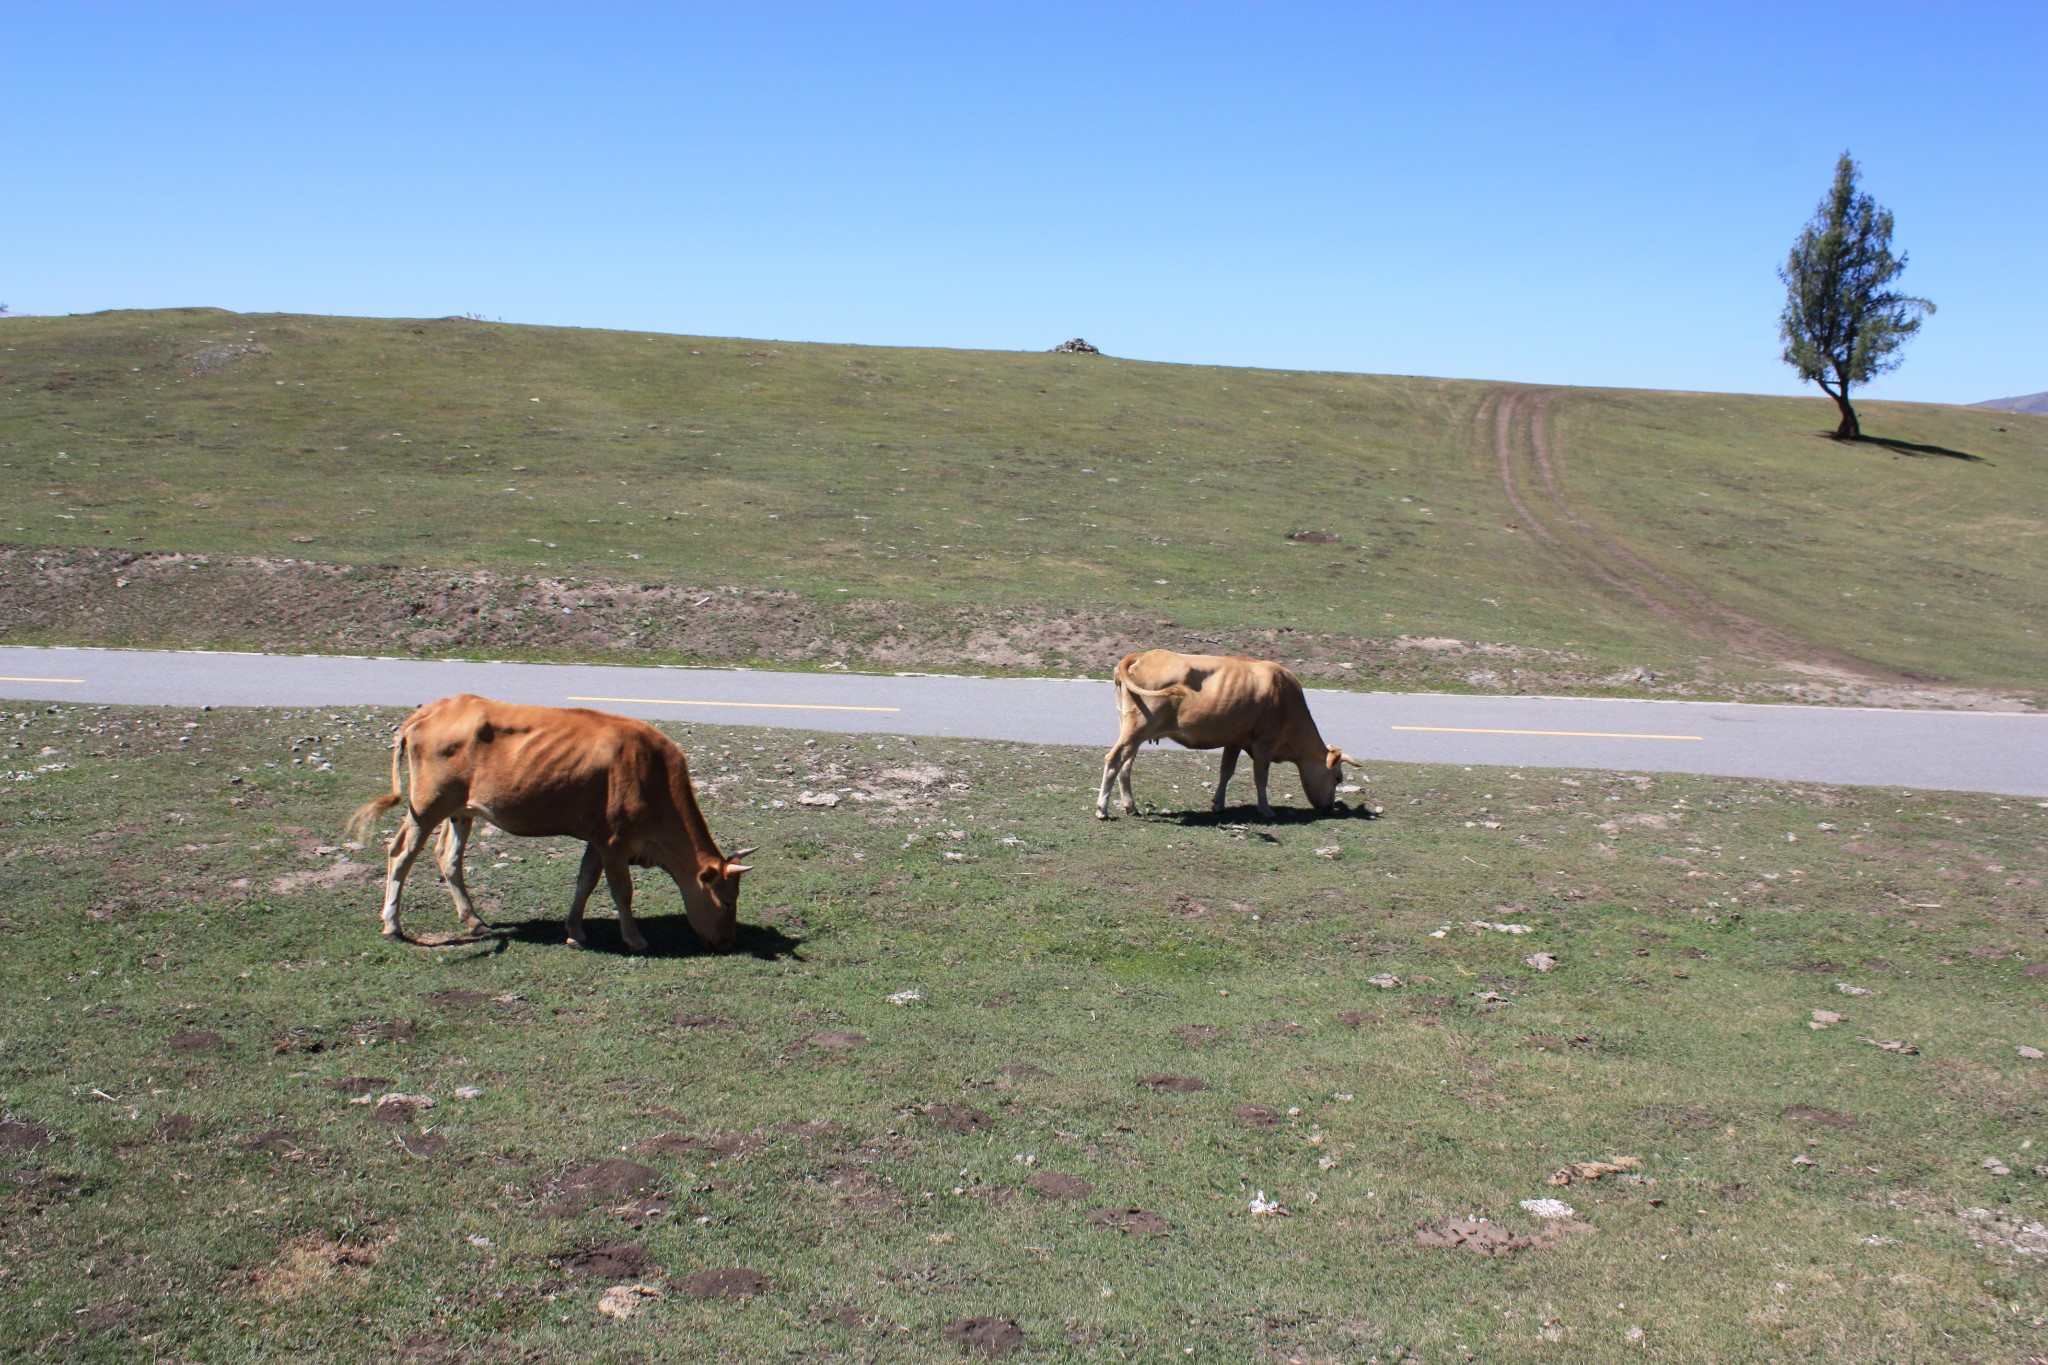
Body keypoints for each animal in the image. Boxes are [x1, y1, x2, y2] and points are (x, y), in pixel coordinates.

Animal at [348, 695, 757, 949]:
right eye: (726, 902)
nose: (728, 943)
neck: (653, 775)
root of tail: (433, 709)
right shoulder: (615, 839)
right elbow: (621, 890)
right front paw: (635, 939)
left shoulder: (597, 837)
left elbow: (585, 882)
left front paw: (574, 931)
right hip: (427, 804)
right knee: (401, 853)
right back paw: (392, 925)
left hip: (460, 810)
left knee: (447, 857)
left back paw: (475, 921)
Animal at [1097, 650, 1368, 822]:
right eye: (1338, 778)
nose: (1329, 808)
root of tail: (1143, 655)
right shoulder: (1264, 743)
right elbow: (1261, 778)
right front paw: (1265, 809)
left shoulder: (1235, 740)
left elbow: (1226, 771)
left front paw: (1218, 804)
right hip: (1137, 729)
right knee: (1114, 759)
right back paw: (1102, 809)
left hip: (1131, 730)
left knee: (1125, 765)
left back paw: (1131, 807)